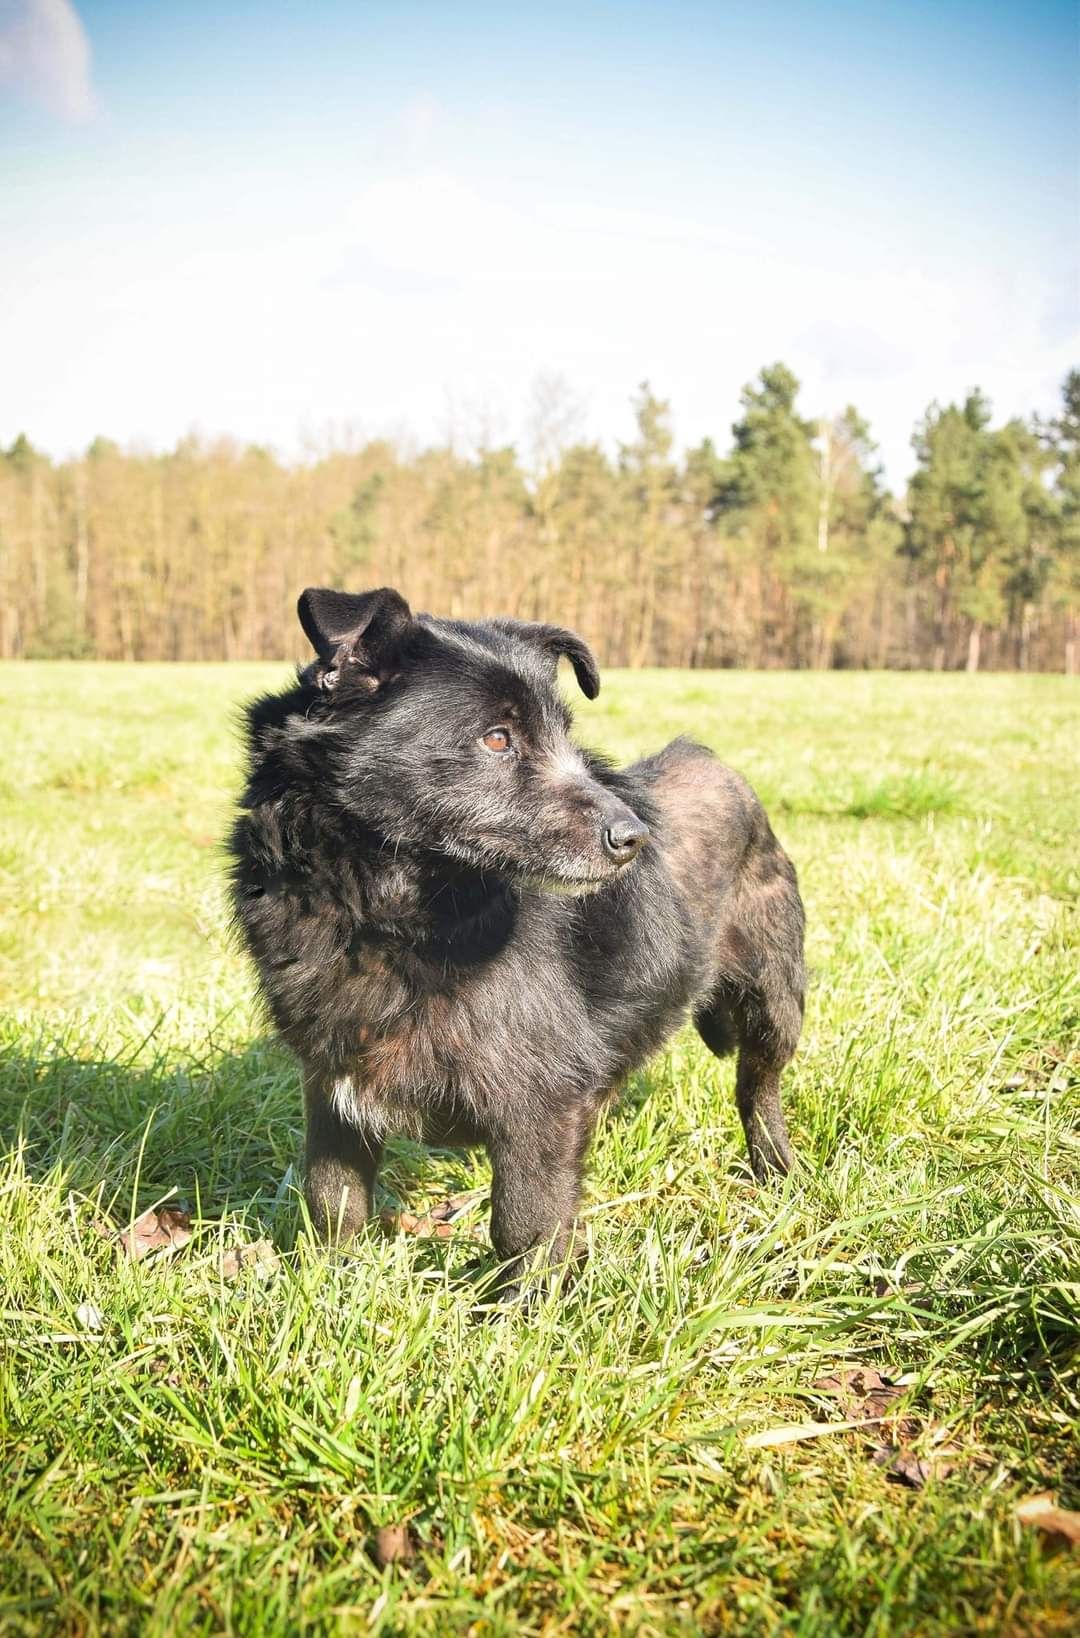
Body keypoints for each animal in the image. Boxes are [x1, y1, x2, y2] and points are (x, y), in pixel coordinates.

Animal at [231, 589, 803, 1290]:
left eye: (566, 735)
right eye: (497, 738)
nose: (635, 837)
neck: (383, 915)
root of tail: (716, 763)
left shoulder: (539, 1104)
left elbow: (524, 1225)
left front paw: (520, 1309)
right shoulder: (331, 1087)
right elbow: (331, 1199)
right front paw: (330, 1286)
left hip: (774, 1000)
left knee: (757, 1087)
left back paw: (777, 1173)